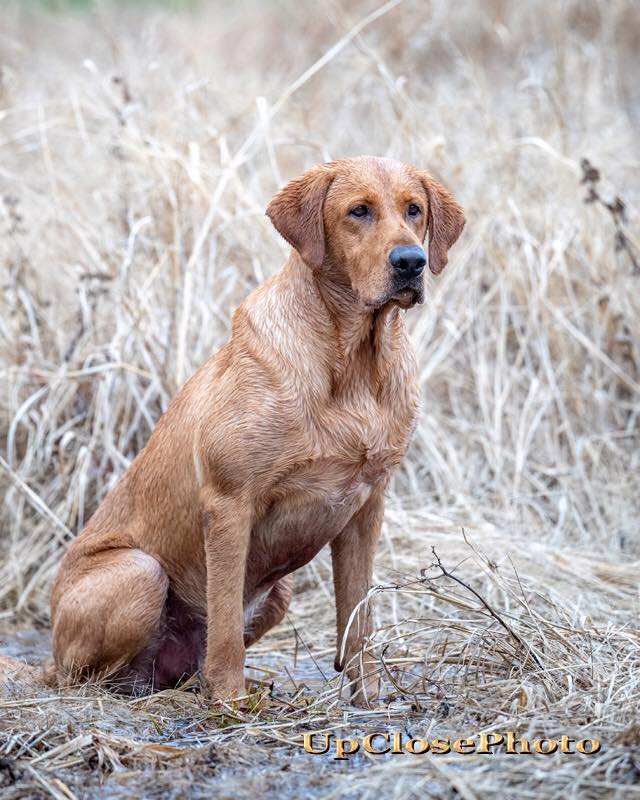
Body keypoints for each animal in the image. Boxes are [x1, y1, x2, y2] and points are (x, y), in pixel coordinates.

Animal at [46, 155, 464, 708]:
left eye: (414, 209)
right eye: (359, 211)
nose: (411, 262)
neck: (354, 361)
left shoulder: (367, 507)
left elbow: (359, 619)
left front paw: (368, 698)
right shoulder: (229, 504)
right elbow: (224, 624)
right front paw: (229, 701)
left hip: (278, 593)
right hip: (140, 572)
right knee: (88, 677)